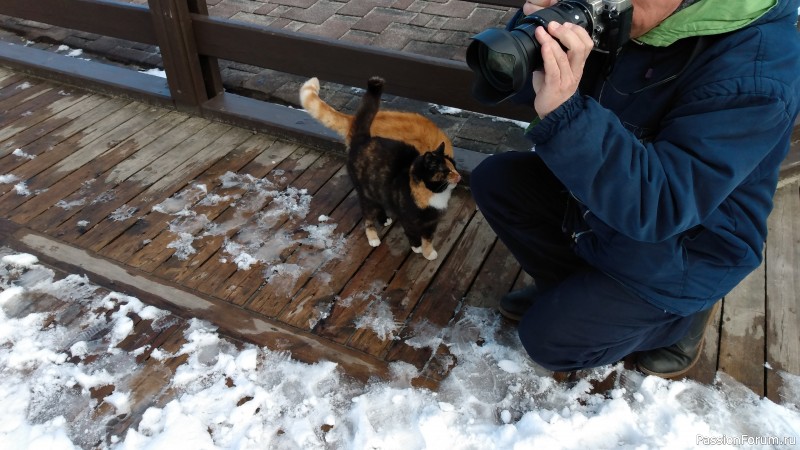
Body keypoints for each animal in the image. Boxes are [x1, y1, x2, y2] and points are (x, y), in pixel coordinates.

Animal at [340, 77, 460, 260]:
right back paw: (373, 237)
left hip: (376, 189)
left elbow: (428, 238)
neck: (433, 195)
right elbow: (412, 233)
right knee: (367, 216)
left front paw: (429, 252)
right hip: (365, 192)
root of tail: (363, 139)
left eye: (455, 166)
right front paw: (417, 247)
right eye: (445, 171)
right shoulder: (408, 219)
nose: (459, 176)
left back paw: (384, 219)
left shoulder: (431, 223)